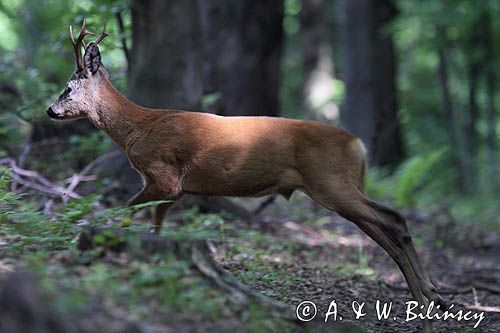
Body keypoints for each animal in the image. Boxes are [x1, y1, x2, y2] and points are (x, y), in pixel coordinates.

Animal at [47, 20, 444, 324]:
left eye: (67, 88)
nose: (50, 110)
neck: (136, 128)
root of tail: (358, 145)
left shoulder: (165, 176)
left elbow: (129, 209)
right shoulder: (173, 189)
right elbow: (155, 226)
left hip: (332, 183)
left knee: (394, 219)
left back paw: (428, 295)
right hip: (339, 188)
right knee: (386, 230)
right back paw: (428, 298)